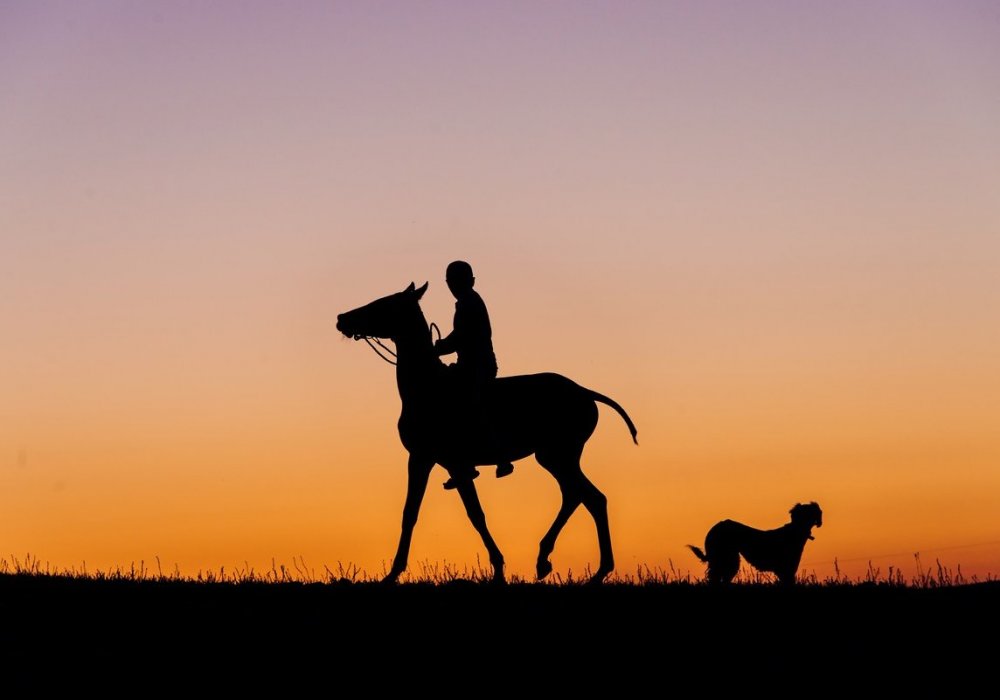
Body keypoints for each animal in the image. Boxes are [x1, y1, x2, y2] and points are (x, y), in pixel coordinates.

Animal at [334, 282, 632, 584]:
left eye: (383, 304)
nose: (342, 318)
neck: (427, 388)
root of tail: (585, 392)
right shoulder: (435, 461)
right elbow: (417, 512)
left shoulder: (432, 459)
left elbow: (470, 514)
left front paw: (497, 569)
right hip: (555, 457)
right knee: (578, 496)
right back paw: (548, 560)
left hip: (558, 455)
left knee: (591, 498)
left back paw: (595, 570)